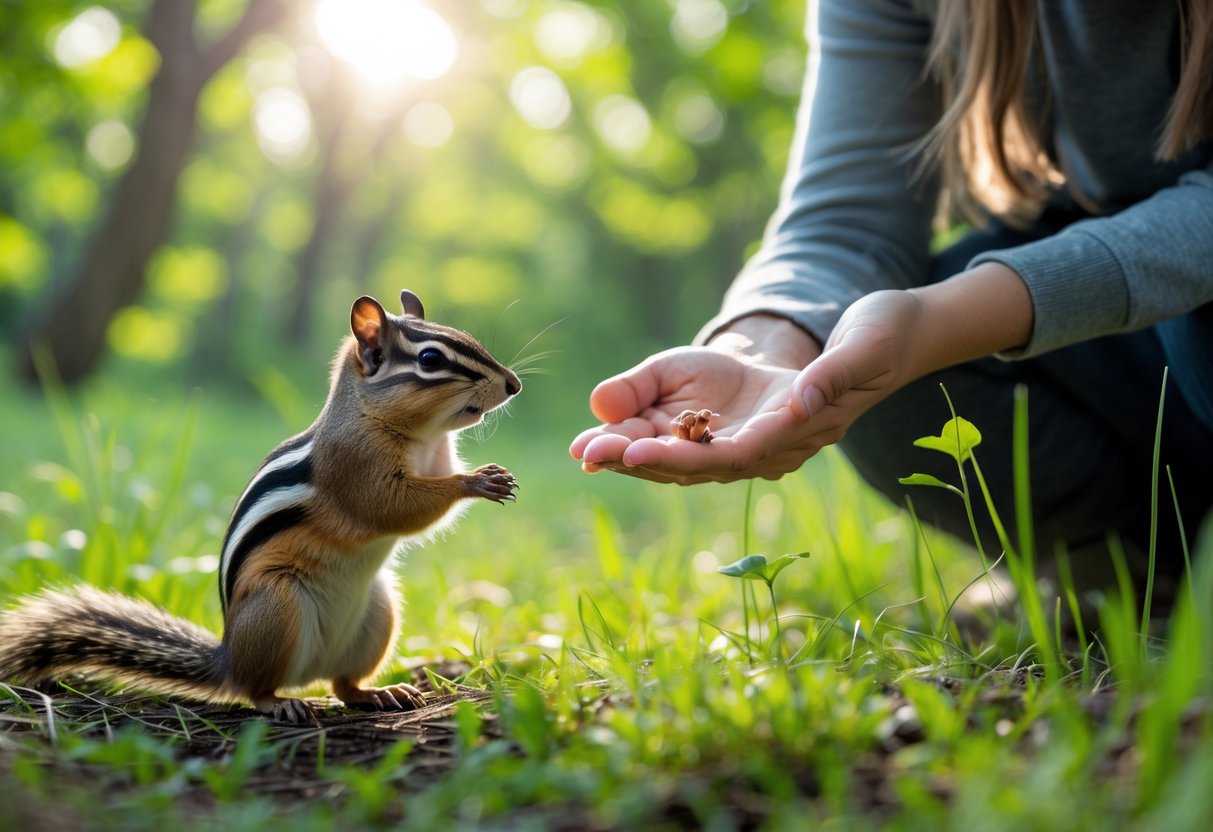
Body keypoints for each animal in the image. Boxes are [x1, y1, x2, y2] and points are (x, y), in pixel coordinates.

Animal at [0, 289, 521, 723]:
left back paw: (378, 693)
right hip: (278, 606)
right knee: (257, 689)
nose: (513, 384)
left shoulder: (435, 453)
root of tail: (229, 657)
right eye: (430, 358)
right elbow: (393, 507)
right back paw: (282, 703)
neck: (420, 436)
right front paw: (476, 481)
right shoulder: (354, 466)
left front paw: (491, 475)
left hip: (380, 612)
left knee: (343, 685)